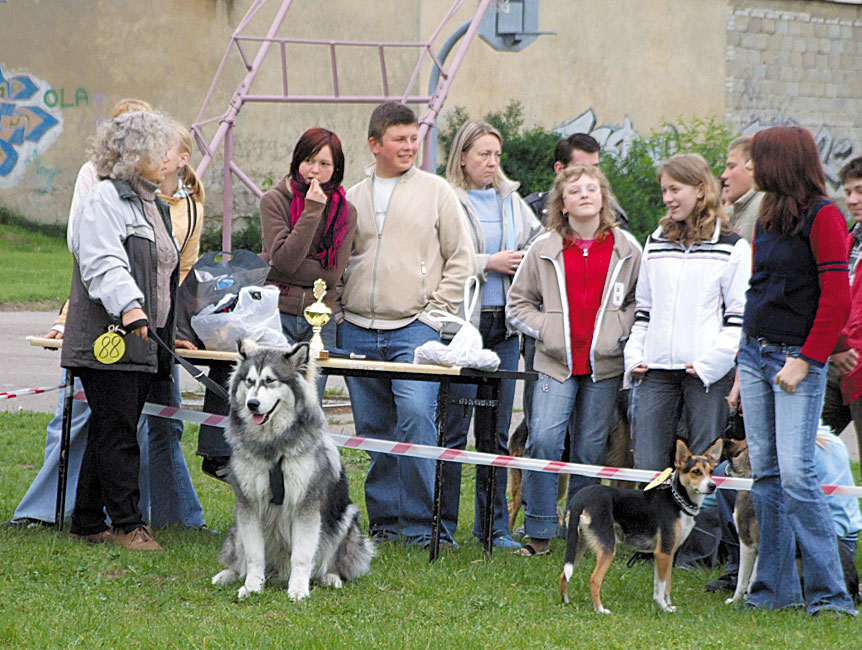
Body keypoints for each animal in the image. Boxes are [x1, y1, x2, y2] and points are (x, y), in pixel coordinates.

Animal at [213, 340, 374, 596]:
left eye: (270, 380)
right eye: (249, 381)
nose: (252, 404)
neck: (273, 446)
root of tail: (278, 572)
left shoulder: (305, 505)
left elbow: (302, 556)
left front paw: (298, 589)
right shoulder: (249, 504)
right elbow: (254, 555)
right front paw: (252, 586)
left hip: (345, 519)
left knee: (330, 562)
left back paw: (330, 577)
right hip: (237, 527)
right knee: (241, 559)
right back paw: (228, 575)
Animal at [560, 436, 724, 612]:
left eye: (711, 471)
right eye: (696, 471)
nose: (712, 486)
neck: (677, 501)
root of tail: (581, 497)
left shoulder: (670, 552)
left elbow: (666, 585)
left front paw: (668, 606)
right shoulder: (663, 552)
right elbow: (661, 586)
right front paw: (663, 607)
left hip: (578, 543)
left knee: (564, 574)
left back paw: (565, 601)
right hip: (607, 546)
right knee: (594, 580)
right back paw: (600, 610)